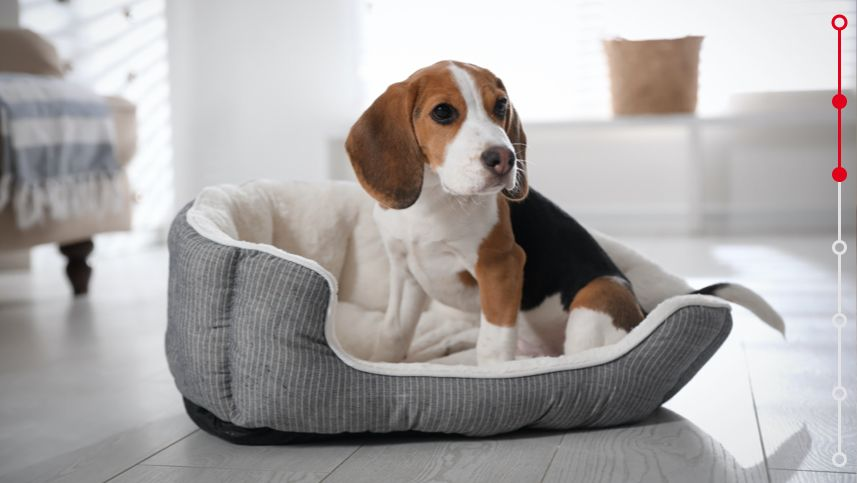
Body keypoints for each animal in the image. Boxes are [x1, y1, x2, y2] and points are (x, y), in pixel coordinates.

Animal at [344, 60, 772, 364]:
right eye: (443, 112)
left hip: (597, 294)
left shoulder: (500, 266)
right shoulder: (405, 272)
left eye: (501, 106)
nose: (504, 158)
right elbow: (393, 333)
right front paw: (381, 365)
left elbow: (492, 346)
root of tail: (643, 311)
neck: (435, 199)